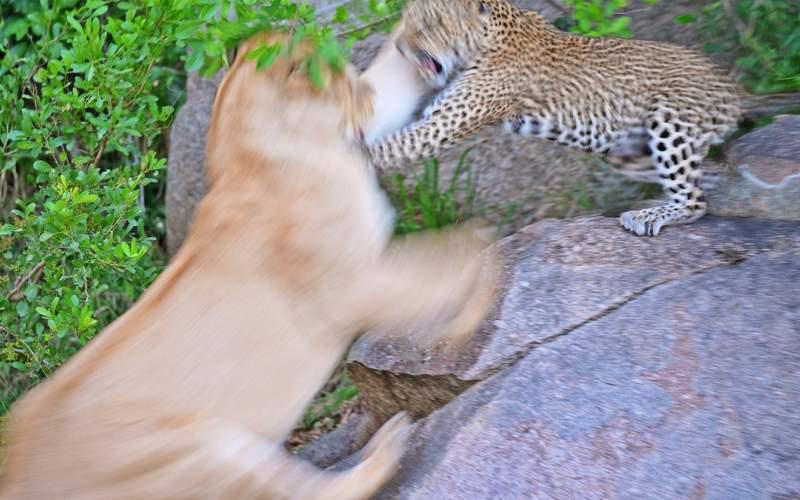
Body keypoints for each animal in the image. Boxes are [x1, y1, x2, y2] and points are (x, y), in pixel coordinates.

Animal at [368, 0, 744, 236]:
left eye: (427, 26)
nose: (399, 47)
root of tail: (734, 89)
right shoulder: (436, 114)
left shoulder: (440, 125)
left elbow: (386, 148)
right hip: (627, 152)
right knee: (708, 179)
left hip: (669, 124)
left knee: (696, 201)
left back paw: (645, 216)